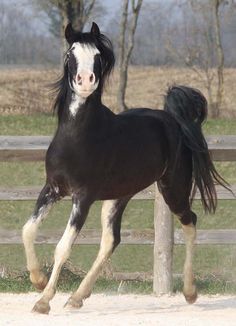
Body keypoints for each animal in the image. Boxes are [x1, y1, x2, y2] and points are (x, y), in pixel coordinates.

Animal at [22, 22, 229, 314]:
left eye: (97, 55)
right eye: (70, 53)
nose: (86, 81)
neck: (77, 137)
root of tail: (174, 121)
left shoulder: (82, 197)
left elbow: (62, 247)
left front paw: (43, 301)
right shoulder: (52, 188)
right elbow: (28, 230)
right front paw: (38, 280)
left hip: (173, 189)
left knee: (190, 221)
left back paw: (190, 292)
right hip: (118, 197)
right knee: (111, 240)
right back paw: (77, 297)